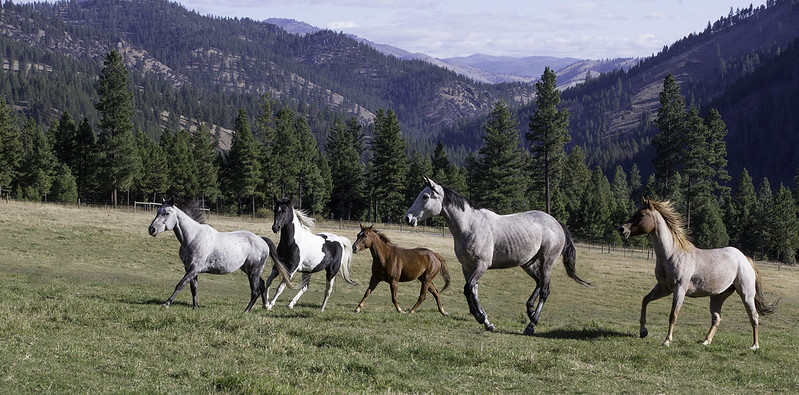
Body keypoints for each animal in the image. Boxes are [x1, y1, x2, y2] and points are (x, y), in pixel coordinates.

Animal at [145, 200, 296, 314]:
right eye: (157, 212)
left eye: (167, 213)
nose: (151, 229)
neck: (193, 237)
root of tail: (262, 240)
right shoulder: (190, 269)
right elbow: (194, 288)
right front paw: (195, 307)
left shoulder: (194, 268)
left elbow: (180, 284)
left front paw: (166, 304)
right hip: (249, 270)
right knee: (262, 284)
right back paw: (265, 306)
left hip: (253, 272)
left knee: (255, 291)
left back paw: (246, 311)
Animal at [404, 178, 592, 336]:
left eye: (425, 196)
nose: (408, 218)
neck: (470, 226)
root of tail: (557, 223)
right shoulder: (467, 266)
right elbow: (473, 290)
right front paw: (486, 321)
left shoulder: (481, 265)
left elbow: (468, 288)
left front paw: (481, 317)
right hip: (528, 263)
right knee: (539, 283)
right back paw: (530, 312)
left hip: (547, 262)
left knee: (545, 290)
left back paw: (531, 325)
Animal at [616, 198, 780, 350]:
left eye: (641, 215)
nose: (621, 229)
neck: (672, 254)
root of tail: (745, 259)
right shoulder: (664, 288)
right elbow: (645, 300)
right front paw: (643, 331)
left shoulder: (679, 289)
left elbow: (673, 315)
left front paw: (667, 340)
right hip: (717, 296)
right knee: (717, 318)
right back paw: (706, 341)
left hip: (746, 294)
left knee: (754, 316)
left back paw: (755, 345)